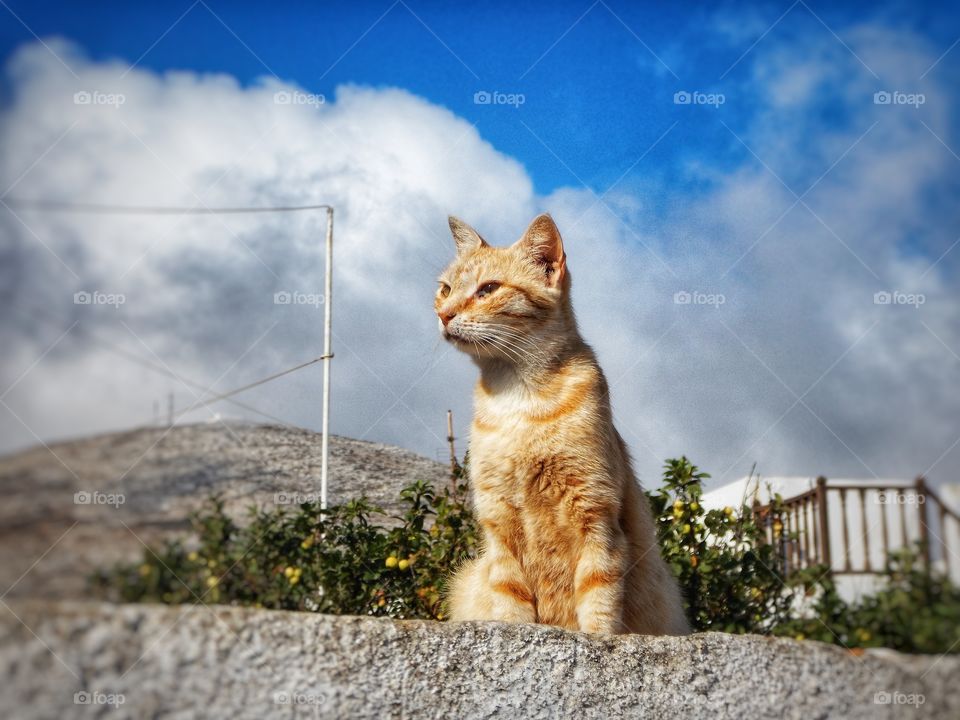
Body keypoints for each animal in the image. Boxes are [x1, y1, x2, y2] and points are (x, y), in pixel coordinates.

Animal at [438, 214, 692, 636]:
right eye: (444, 289)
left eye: (488, 289)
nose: (443, 315)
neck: (520, 400)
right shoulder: (499, 523)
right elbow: (510, 598)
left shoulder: (595, 515)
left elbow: (598, 596)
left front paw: (597, 639)